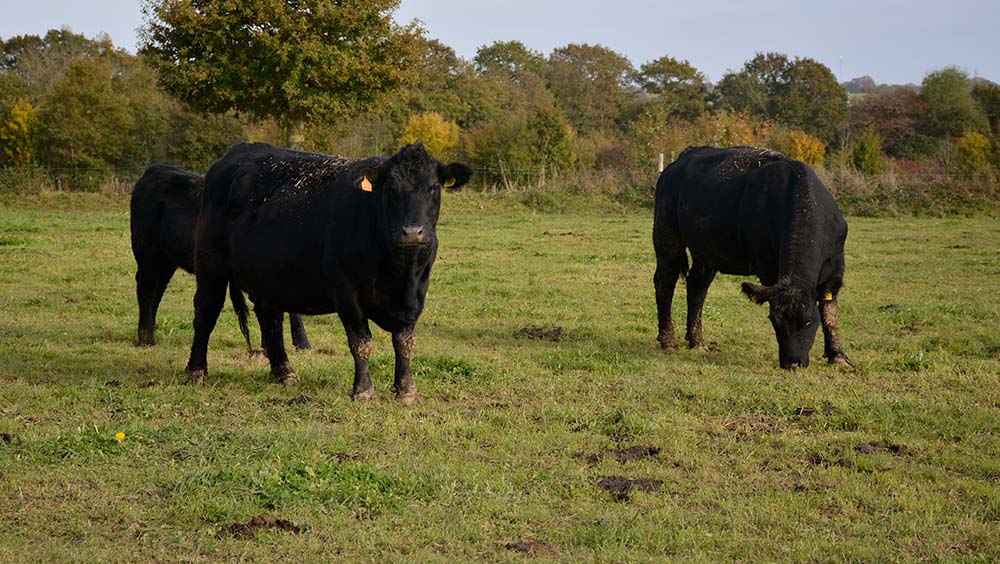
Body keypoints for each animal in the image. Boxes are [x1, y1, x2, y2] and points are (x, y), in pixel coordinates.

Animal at [131, 162, 308, 348]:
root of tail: (157, 168)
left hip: (167, 258)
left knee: (158, 289)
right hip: (146, 249)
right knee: (146, 287)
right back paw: (146, 337)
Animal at [187, 143, 472, 404]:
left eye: (433, 188)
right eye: (391, 188)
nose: (412, 232)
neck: (401, 273)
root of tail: (236, 153)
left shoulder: (416, 295)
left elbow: (404, 341)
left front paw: (407, 391)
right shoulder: (347, 293)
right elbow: (361, 342)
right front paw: (364, 391)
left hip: (268, 276)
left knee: (270, 319)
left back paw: (284, 372)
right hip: (210, 266)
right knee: (206, 313)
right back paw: (197, 371)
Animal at [656, 144, 852, 370]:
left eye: (809, 321)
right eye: (775, 321)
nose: (792, 363)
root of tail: (682, 158)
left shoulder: (836, 268)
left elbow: (829, 313)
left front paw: (838, 355)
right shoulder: (767, 265)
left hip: (707, 253)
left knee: (697, 287)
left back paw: (697, 342)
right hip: (666, 234)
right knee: (665, 281)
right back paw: (668, 341)